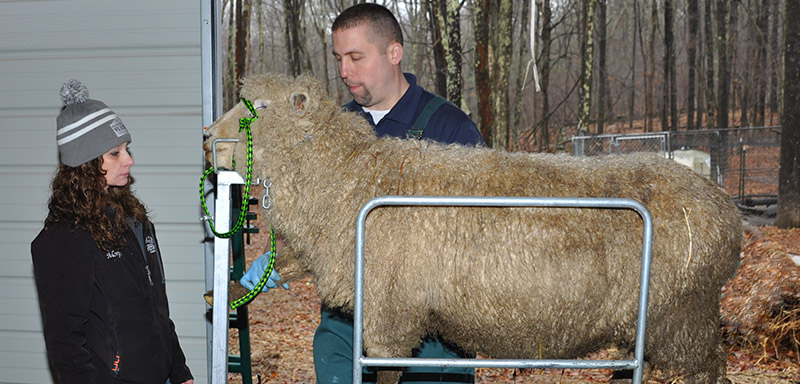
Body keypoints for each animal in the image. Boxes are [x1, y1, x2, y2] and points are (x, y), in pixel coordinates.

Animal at [203, 73, 740, 384]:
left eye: (262, 108)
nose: (208, 137)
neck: (349, 178)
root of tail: (725, 209)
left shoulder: (389, 316)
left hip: (684, 317)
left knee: (709, 370)